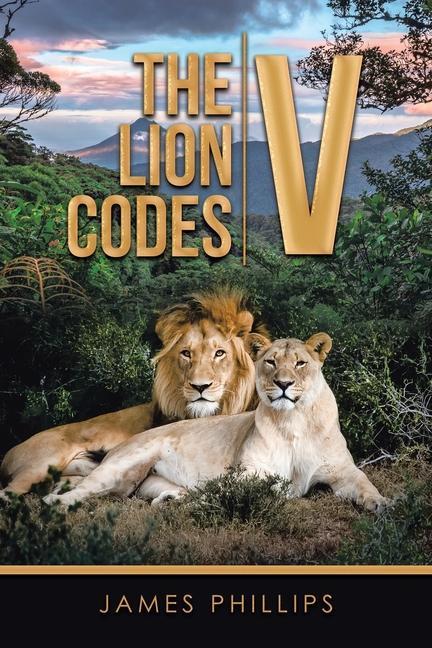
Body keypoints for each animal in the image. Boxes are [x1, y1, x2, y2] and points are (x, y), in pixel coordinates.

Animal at [44, 334, 387, 513]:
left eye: (300, 363)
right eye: (271, 362)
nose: (284, 384)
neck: (293, 422)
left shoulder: (341, 470)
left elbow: (364, 482)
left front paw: (381, 504)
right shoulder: (248, 472)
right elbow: (253, 487)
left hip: (141, 482)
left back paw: (172, 500)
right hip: (122, 463)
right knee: (84, 488)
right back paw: (55, 501)